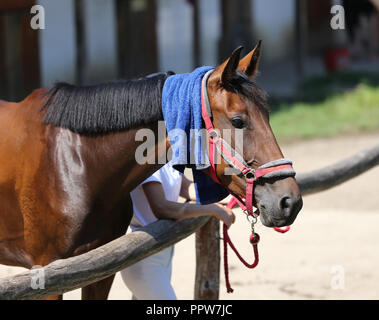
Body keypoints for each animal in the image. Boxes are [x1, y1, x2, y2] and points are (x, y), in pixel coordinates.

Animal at [0, 41, 302, 298]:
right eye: (238, 121)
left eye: (269, 115)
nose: (289, 201)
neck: (75, 162)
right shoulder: (47, 276)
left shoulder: (100, 270)